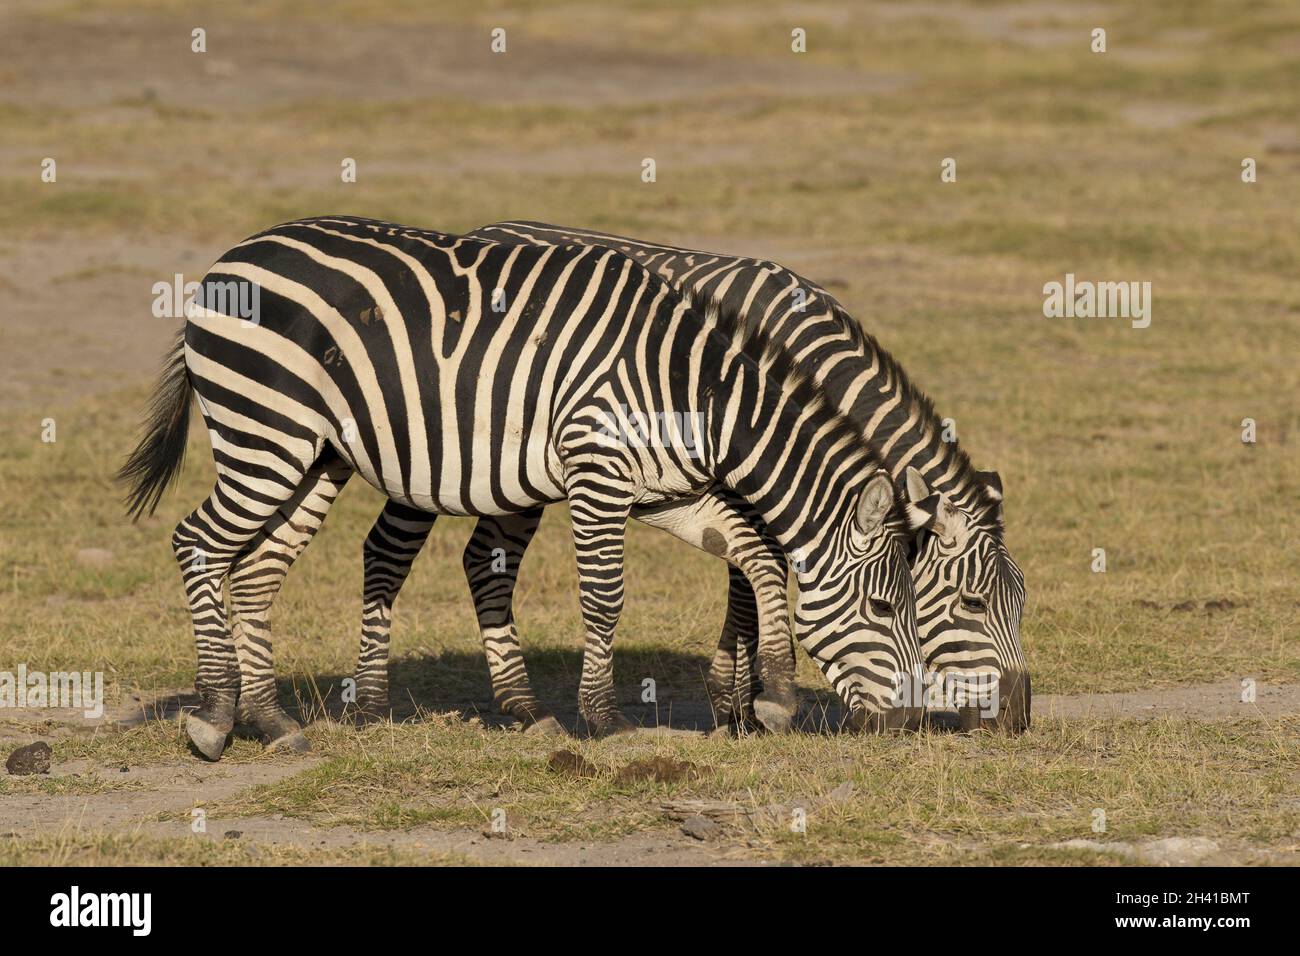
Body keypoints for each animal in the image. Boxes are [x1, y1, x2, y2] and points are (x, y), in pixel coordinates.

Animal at [114, 213, 925, 759]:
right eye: (886, 608)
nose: (905, 725)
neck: (692, 392)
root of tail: (231, 258)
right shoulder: (599, 471)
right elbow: (605, 598)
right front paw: (605, 720)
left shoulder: (667, 490)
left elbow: (756, 553)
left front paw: (775, 697)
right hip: (266, 432)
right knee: (197, 542)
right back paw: (216, 717)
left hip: (314, 455)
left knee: (256, 569)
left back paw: (273, 721)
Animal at [309, 221, 1029, 738]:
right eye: (971, 603)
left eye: (1021, 604)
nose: (1018, 720)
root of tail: (485, 227)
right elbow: (749, 582)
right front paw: (738, 704)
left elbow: (752, 571)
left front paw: (740, 701)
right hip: (435, 456)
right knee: (389, 549)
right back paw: (370, 704)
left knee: (484, 559)